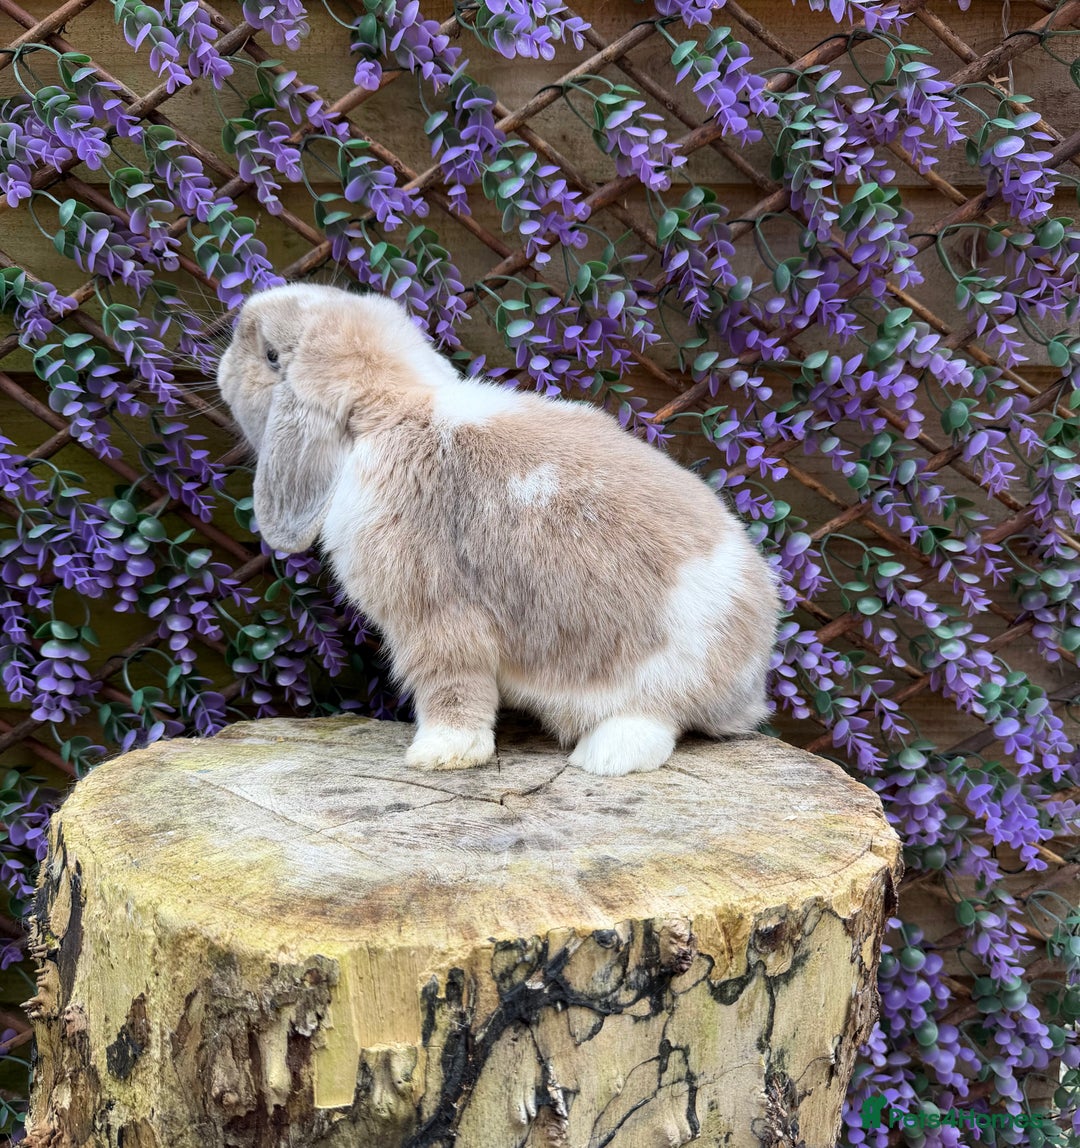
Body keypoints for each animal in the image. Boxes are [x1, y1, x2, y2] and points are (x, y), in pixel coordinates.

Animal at [216, 283, 781, 776]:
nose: (223, 363)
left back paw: (604, 757)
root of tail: (750, 686)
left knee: (660, 720)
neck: (391, 407)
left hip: (657, 675)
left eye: (270, 355)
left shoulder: (435, 616)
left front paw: (440, 755)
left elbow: (452, 690)